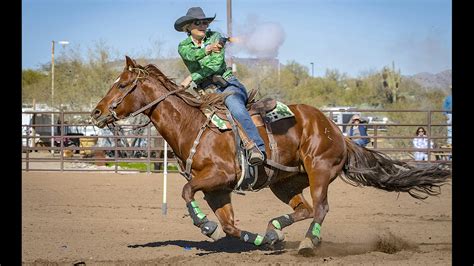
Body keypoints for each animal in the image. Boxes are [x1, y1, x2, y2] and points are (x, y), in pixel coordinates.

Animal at [90, 56, 450, 256]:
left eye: (121, 84)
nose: (96, 112)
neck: (193, 126)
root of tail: (336, 130)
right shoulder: (217, 189)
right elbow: (231, 227)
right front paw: (261, 240)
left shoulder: (218, 177)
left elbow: (186, 191)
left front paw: (206, 226)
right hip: (284, 182)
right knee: (305, 209)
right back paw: (275, 230)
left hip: (319, 170)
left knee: (321, 209)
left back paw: (308, 244)